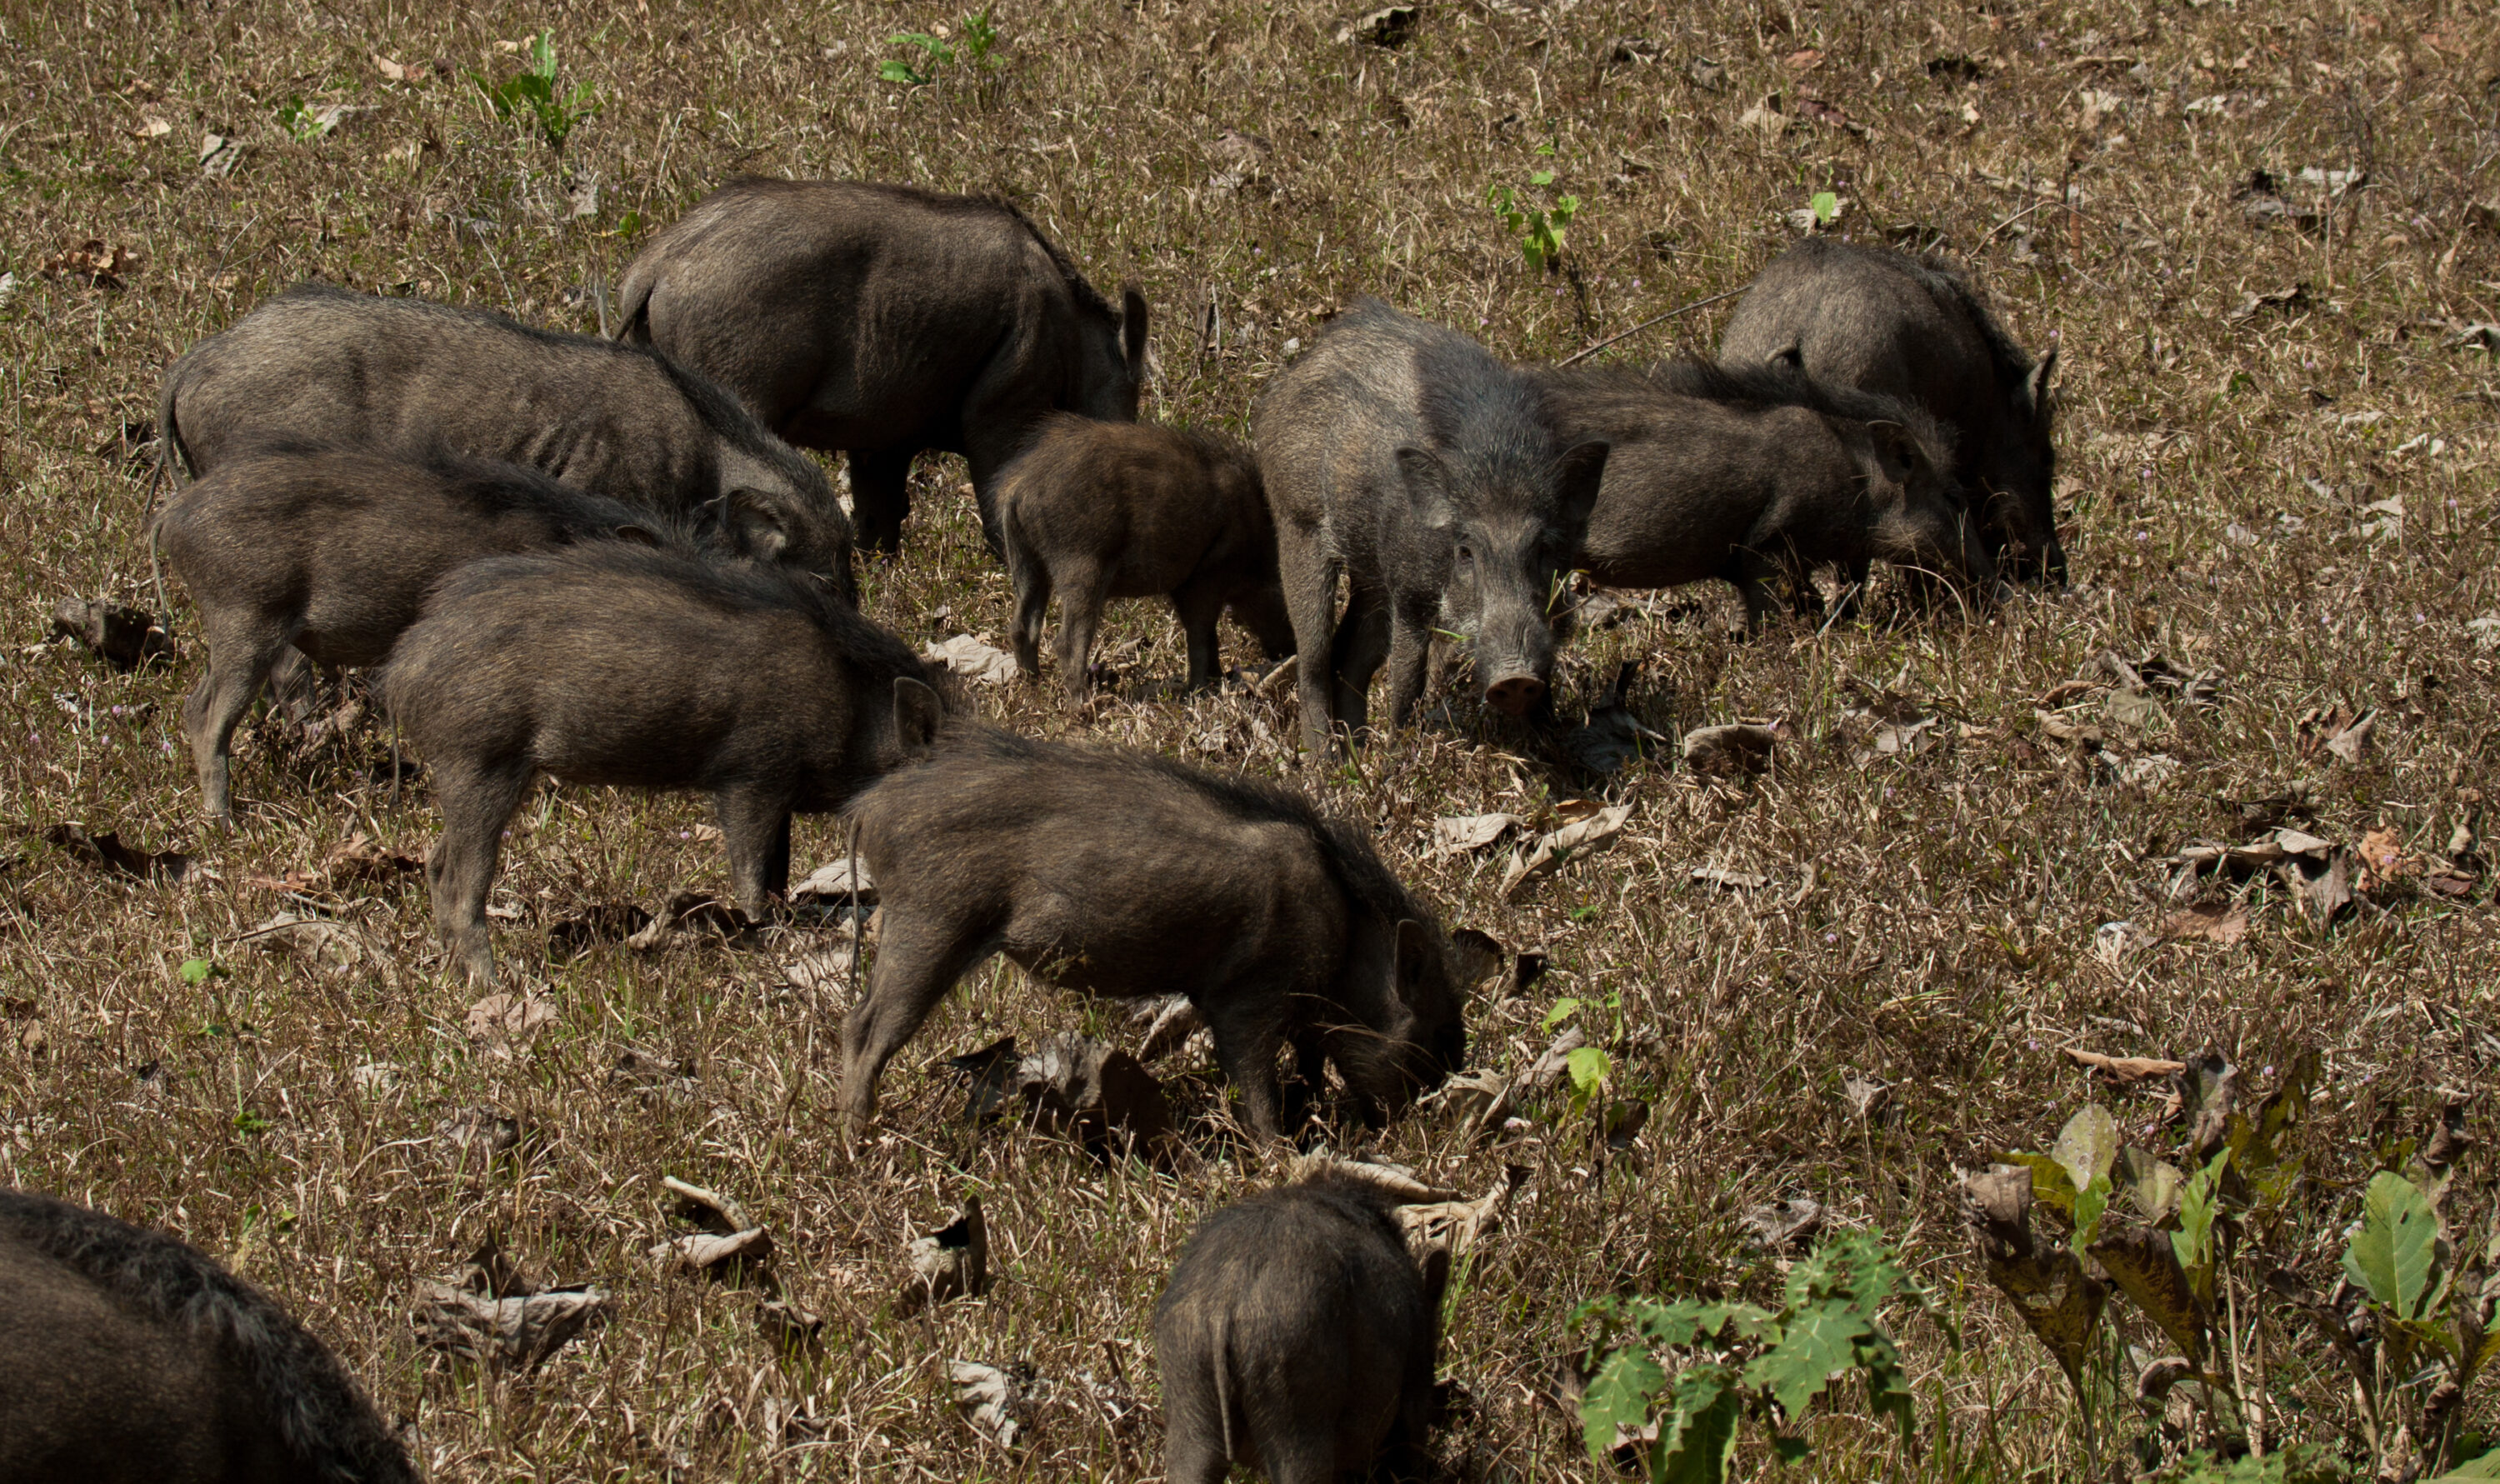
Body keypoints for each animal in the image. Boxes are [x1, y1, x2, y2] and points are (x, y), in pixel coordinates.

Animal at [375, 543, 948, 985]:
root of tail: (402, 669)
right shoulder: (752, 776)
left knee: (435, 861)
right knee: (461, 878)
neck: (857, 713)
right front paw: (766, 937)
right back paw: (495, 982)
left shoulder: (778, 791)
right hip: (479, 762)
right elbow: (750, 870)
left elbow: (775, 869)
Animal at [615, 178, 1150, 554]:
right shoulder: (1004, 416)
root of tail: (655, 268)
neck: (1076, 345)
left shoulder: (881, 444)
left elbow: (880, 519)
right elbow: (999, 507)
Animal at [838, 726, 1502, 1138]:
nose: (1422, 1132)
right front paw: (1284, 1155)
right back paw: (858, 1138)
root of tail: (869, 808)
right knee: (866, 1029)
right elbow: (1257, 1088)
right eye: (1440, 1036)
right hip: (932, 924)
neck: (1345, 938)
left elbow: (1309, 1064)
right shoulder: (1244, 1000)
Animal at [994, 413, 1295, 695]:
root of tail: (1020, 489)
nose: (1289, 651)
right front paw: (1201, 690)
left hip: (1027, 564)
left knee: (1022, 628)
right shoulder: (1205, 577)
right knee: (1068, 641)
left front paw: (1215, 682)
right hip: (1081, 566)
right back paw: (1084, 705)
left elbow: (1205, 635)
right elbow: (1201, 634)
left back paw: (1033, 688)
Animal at [1254, 298, 1610, 757]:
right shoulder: (1411, 597)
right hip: (1299, 527)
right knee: (1314, 660)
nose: (1515, 678)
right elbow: (1407, 686)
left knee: (1349, 658)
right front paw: (1399, 758)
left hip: (1371, 574)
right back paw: (1325, 767)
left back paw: (1358, 755)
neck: (1496, 461)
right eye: (1466, 550)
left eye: (1543, 548)